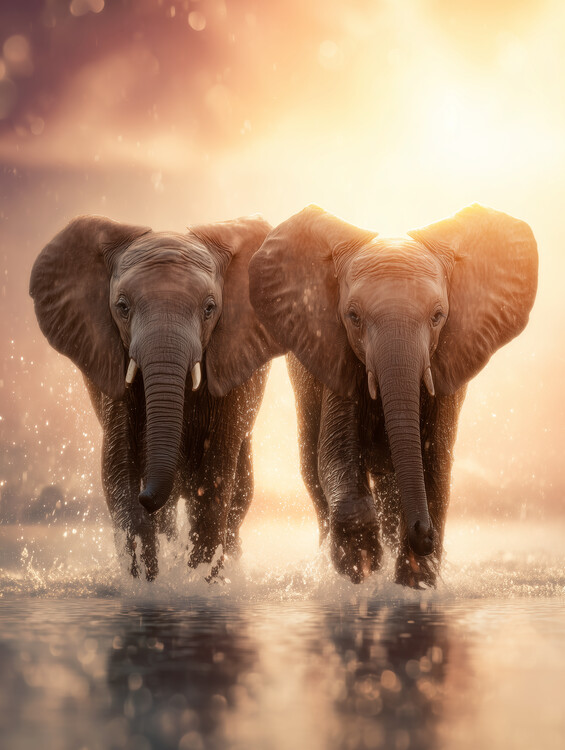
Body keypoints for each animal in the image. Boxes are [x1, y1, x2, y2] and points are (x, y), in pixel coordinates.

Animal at [30, 214, 280, 580]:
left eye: (210, 309)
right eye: (122, 307)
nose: (147, 496)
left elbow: (216, 474)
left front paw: (198, 583)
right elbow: (118, 467)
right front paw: (149, 584)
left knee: (238, 493)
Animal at [249, 204, 538, 587]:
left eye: (438, 316)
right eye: (353, 316)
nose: (424, 533)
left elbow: (435, 463)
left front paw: (414, 583)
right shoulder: (335, 352)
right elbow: (335, 452)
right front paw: (363, 565)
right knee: (312, 465)